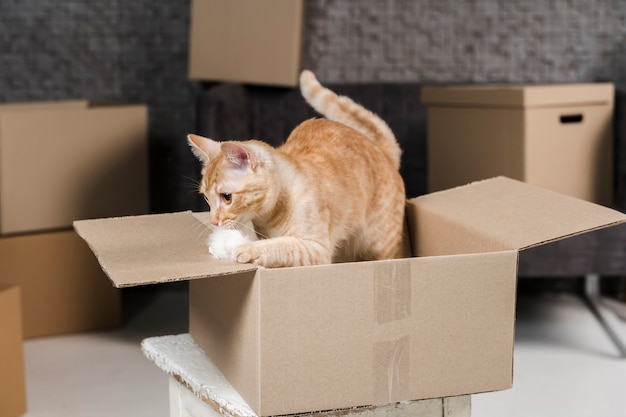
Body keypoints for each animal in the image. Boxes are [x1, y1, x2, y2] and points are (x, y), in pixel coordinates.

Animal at [186, 70, 404, 266]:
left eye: (227, 197)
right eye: (206, 198)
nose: (213, 222)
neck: (271, 217)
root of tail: (381, 149)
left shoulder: (316, 248)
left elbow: (281, 245)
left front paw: (248, 248)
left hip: (380, 246)